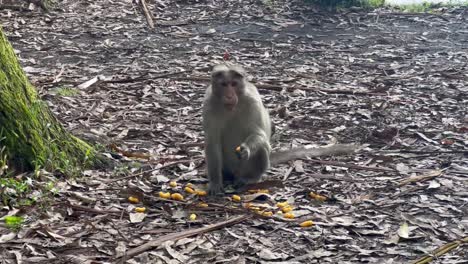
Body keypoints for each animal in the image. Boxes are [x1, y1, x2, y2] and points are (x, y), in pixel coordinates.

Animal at [201, 63, 358, 195]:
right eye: (224, 84)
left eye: (233, 84)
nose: (229, 95)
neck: (232, 108)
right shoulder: (209, 103)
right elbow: (212, 143)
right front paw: (215, 183)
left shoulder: (252, 102)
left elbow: (260, 134)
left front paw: (246, 149)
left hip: (247, 168)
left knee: (263, 147)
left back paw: (250, 178)